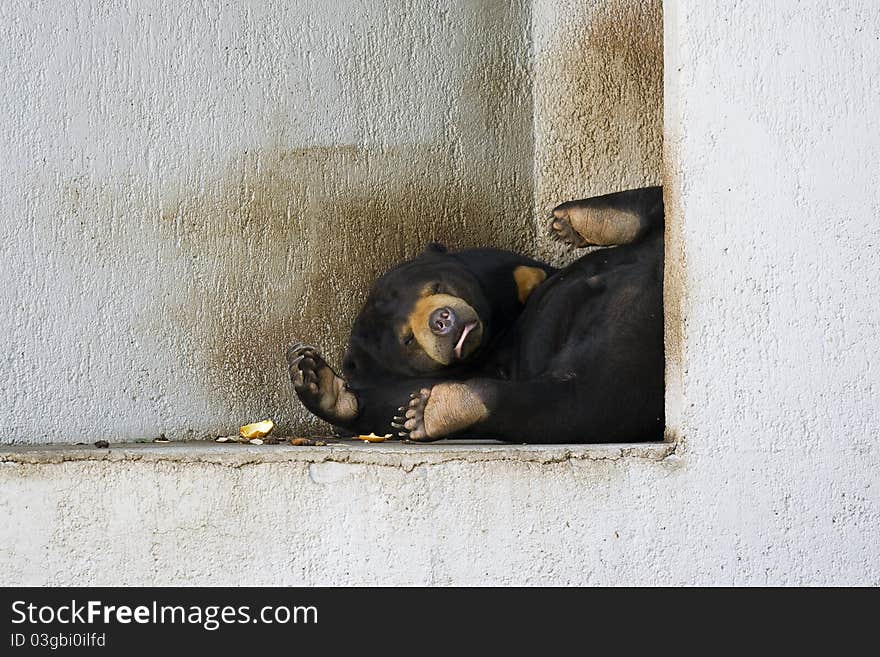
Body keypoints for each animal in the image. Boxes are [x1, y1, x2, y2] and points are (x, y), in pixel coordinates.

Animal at [288, 184, 668, 440]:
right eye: (408, 341)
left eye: (435, 288)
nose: (443, 321)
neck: (496, 329)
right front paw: (319, 379)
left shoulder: (504, 272)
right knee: (569, 404)